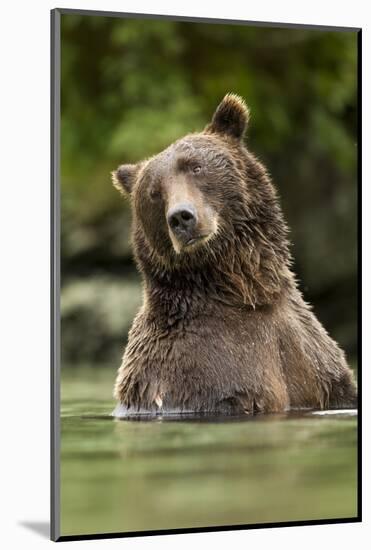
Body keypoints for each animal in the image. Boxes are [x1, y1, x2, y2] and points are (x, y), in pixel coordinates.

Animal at [112, 94, 358, 418]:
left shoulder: (312, 354)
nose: (181, 217)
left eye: (196, 167)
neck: (246, 292)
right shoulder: (198, 369)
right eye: (154, 192)